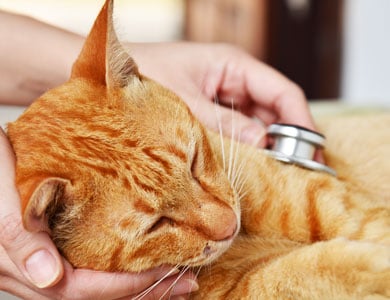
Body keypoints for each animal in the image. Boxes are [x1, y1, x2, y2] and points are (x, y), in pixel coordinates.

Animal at [6, 1, 390, 298]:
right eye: (157, 224)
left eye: (193, 161)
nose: (229, 225)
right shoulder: (240, 289)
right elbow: (295, 274)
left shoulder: (337, 204)